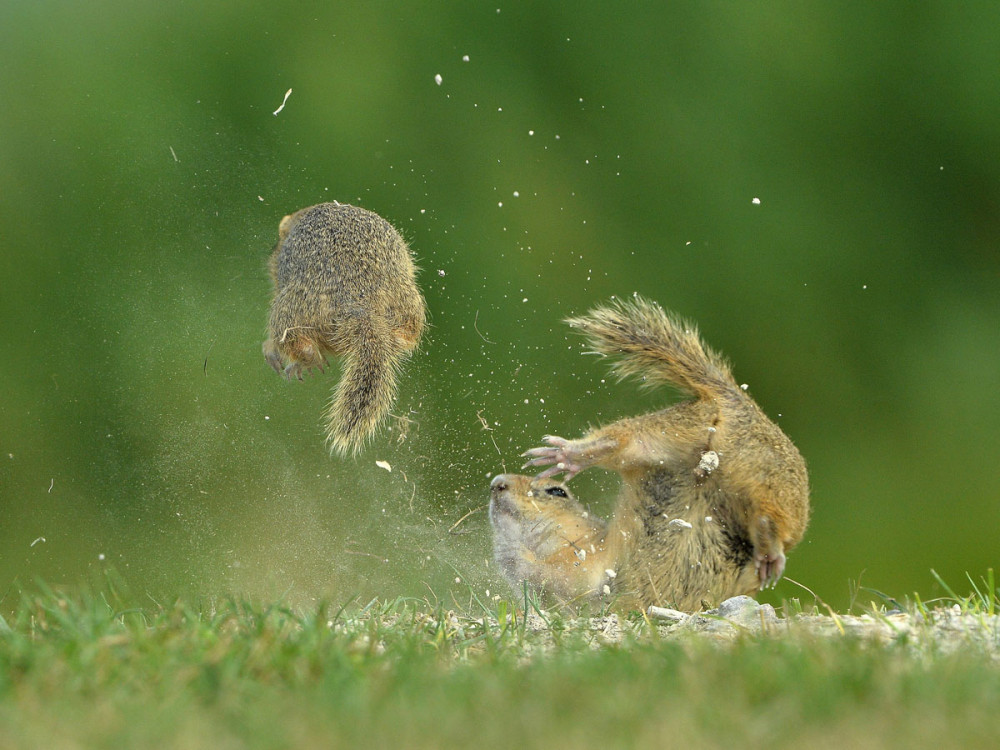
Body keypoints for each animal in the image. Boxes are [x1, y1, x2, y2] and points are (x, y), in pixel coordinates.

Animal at [264, 203, 424, 456]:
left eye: (275, 245)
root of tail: (360, 303)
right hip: (408, 302)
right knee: (407, 335)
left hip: (290, 306)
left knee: (297, 341)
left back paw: (301, 360)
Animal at [492, 296, 812, 612]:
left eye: (557, 492)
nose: (497, 484)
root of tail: (732, 399)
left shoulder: (578, 565)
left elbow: (549, 573)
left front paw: (512, 553)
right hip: (673, 444)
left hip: (755, 473)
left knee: (620, 441)